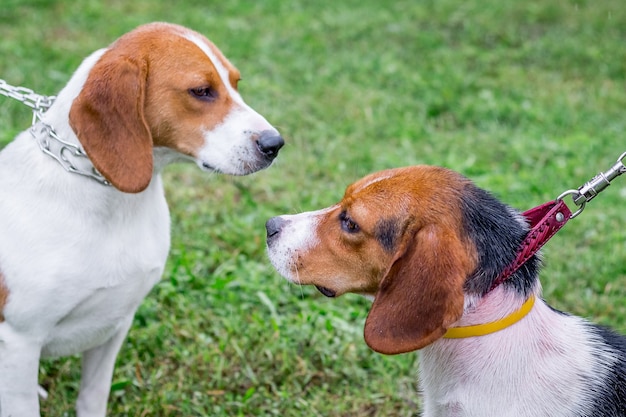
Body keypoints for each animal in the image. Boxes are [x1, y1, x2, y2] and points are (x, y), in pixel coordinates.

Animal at [0, 22, 282, 416]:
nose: (275, 144)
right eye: (202, 91)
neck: (112, 202)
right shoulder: (19, 340)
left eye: (236, 83)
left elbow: (92, 397)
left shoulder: (115, 324)